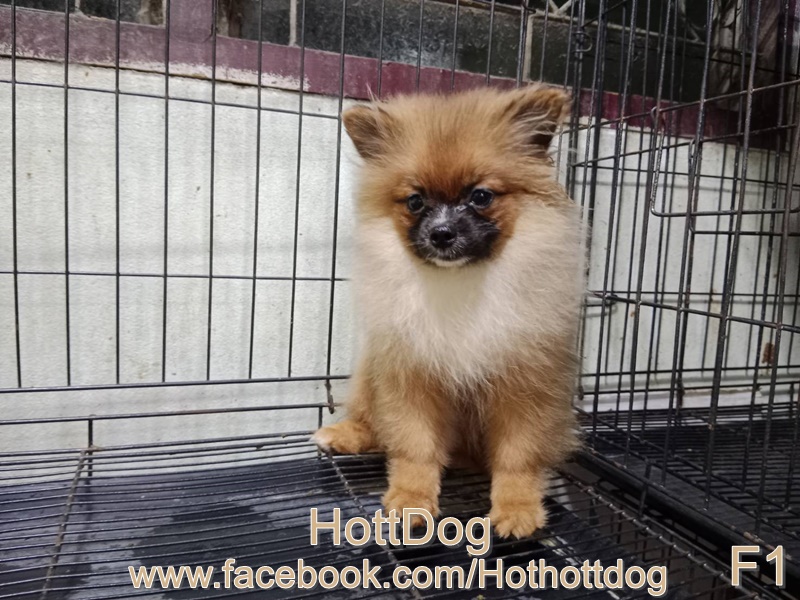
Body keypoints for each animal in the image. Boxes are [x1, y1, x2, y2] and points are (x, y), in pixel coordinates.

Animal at [313, 85, 584, 539]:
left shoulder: (524, 386)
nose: (441, 233)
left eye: (480, 196)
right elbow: (415, 448)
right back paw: (344, 434)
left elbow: (518, 455)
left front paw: (516, 507)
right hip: (372, 370)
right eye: (415, 201)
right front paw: (411, 499)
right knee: (373, 423)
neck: (459, 281)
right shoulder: (413, 376)